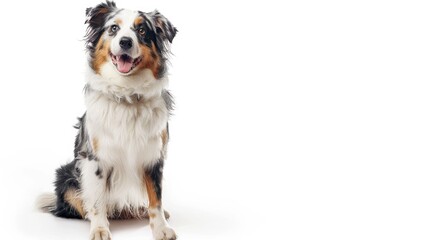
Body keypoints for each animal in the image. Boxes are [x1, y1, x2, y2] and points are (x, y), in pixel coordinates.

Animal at [36, 0, 178, 239]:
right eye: (113, 28)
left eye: (142, 30)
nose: (125, 41)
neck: (128, 94)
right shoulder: (96, 159)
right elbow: (96, 200)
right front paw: (100, 229)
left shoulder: (154, 156)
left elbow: (156, 199)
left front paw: (161, 228)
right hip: (67, 175)